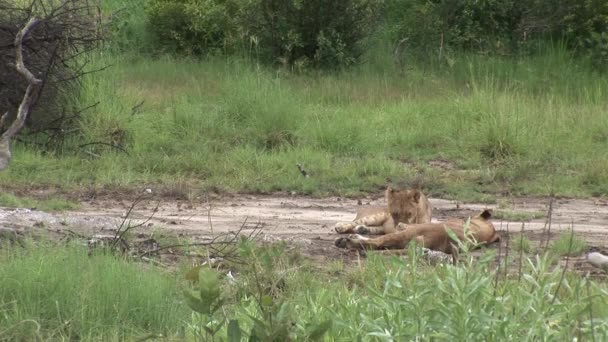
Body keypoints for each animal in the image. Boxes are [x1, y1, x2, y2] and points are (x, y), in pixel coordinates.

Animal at [334, 208, 502, 254]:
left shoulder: (408, 228)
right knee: (361, 225)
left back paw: (345, 240)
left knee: (374, 242)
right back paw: (349, 230)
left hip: (402, 235)